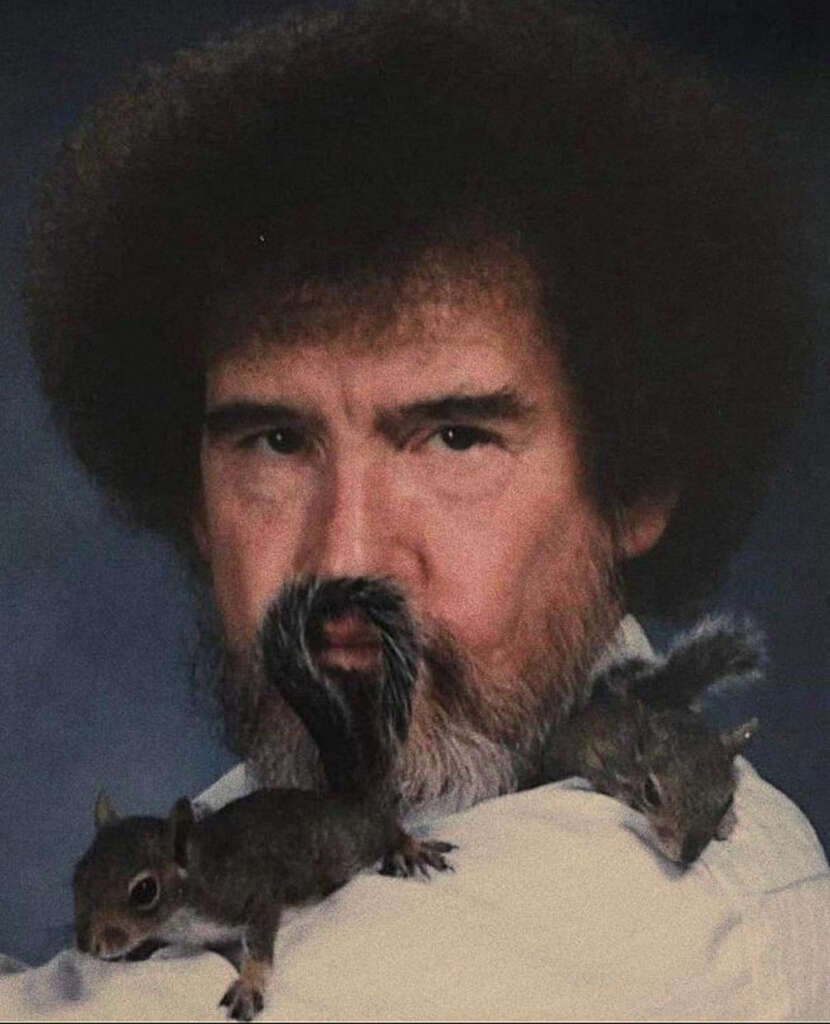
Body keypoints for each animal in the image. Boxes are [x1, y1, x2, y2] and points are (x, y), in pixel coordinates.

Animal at [72, 581, 454, 1019]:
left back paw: (410, 848)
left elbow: (258, 942)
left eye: (144, 891)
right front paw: (141, 948)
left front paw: (249, 983)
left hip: (357, 837)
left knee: (387, 829)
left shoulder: (254, 891)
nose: (88, 945)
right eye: (78, 875)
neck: (190, 895)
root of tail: (344, 798)